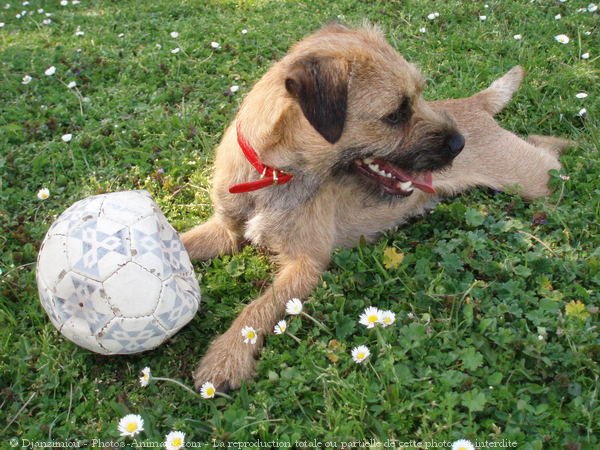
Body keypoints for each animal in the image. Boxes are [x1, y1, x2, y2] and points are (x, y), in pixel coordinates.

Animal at [180, 22, 568, 392]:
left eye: (419, 95)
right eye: (395, 114)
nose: (459, 144)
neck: (269, 174)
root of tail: (474, 103)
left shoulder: (305, 264)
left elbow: (260, 305)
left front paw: (227, 356)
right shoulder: (226, 230)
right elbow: (184, 243)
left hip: (528, 180)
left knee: (550, 156)